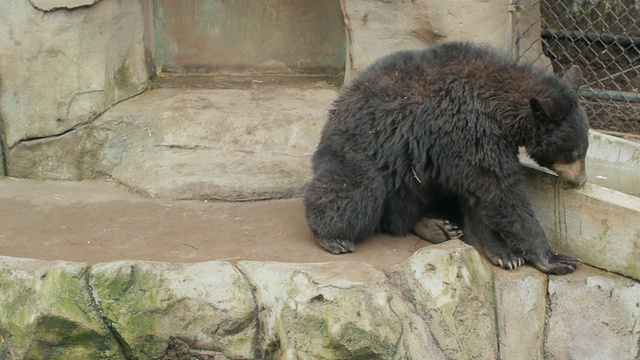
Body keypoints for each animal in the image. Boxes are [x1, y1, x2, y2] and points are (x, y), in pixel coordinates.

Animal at [304, 40, 592, 274]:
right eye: (575, 152)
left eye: (586, 149)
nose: (581, 180)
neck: (499, 106)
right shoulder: (467, 128)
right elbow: (500, 189)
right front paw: (551, 258)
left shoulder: (462, 145)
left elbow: (477, 191)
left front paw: (499, 250)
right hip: (362, 151)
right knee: (355, 188)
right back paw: (333, 236)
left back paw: (436, 227)